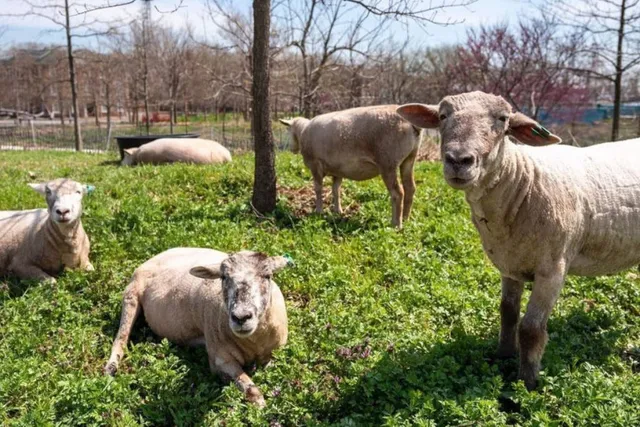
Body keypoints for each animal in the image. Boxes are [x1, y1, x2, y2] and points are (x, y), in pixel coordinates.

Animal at [104, 248, 291, 407]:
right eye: (224, 277)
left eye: (267, 276)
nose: (241, 317)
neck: (254, 343)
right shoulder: (219, 360)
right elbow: (252, 391)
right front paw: (261, 407)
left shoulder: (273, 353)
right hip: (131, 293)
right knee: (121, 338)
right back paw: (110, 368)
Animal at [280, 105, 422, 227]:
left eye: (288, 130)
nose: (291, 149)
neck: (302, 132)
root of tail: (411, 124)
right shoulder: (337, 170)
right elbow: (336, 190)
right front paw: (338, 211)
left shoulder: (315, 165)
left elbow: (318, 189)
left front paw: (319, 211)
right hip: (409, 159)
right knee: (410, 188)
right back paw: (406, 218)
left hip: (388, 162)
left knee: (397, 193)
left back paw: (396, 224)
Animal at [397, 91, 640, 390]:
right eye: (442, 116)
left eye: (503, 119)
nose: (458, 160)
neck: (522, 181)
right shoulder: (509, 263)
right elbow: (508, 312)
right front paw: (503, 355)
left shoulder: (552, 269)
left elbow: (530, 329)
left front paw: (527, 383)